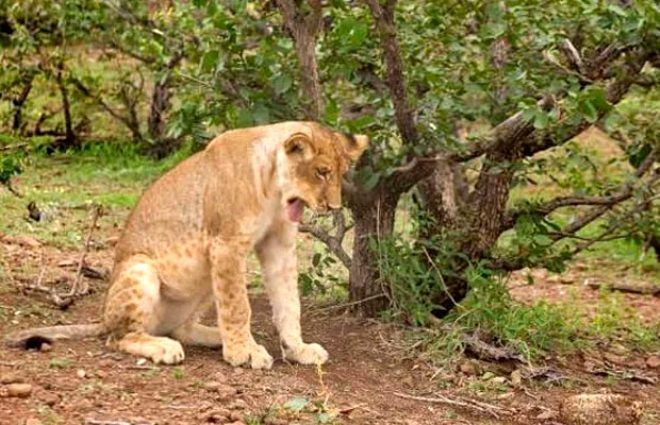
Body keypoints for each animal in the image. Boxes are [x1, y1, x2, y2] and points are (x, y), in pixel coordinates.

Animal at [3, 120, 366, 368]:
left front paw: (297, 349)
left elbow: (289, 304)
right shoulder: (226, 246)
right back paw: (163, 347)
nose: (334, 207)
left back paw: (215, 337)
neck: (274, 189)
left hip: (203, 280)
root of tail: (103, 318)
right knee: (118, 337)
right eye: (321, 171)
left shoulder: (278, 247)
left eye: (341, 173)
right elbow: (238, 306)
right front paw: (243, 353)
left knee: (182, 329)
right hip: (142, 269)